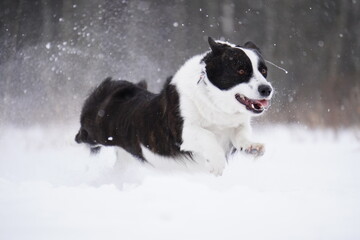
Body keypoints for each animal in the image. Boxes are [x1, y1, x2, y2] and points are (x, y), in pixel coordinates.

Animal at [75, 37, 272, 176]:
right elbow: (206, 135)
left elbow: (242, 135)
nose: (267, 89)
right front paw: (216, 164)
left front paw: (254, 147)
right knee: (83, 135)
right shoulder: (182, 131)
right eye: (240, 70)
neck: (215, 102)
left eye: (263, 71)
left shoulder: (236, 125)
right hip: (96, 130)